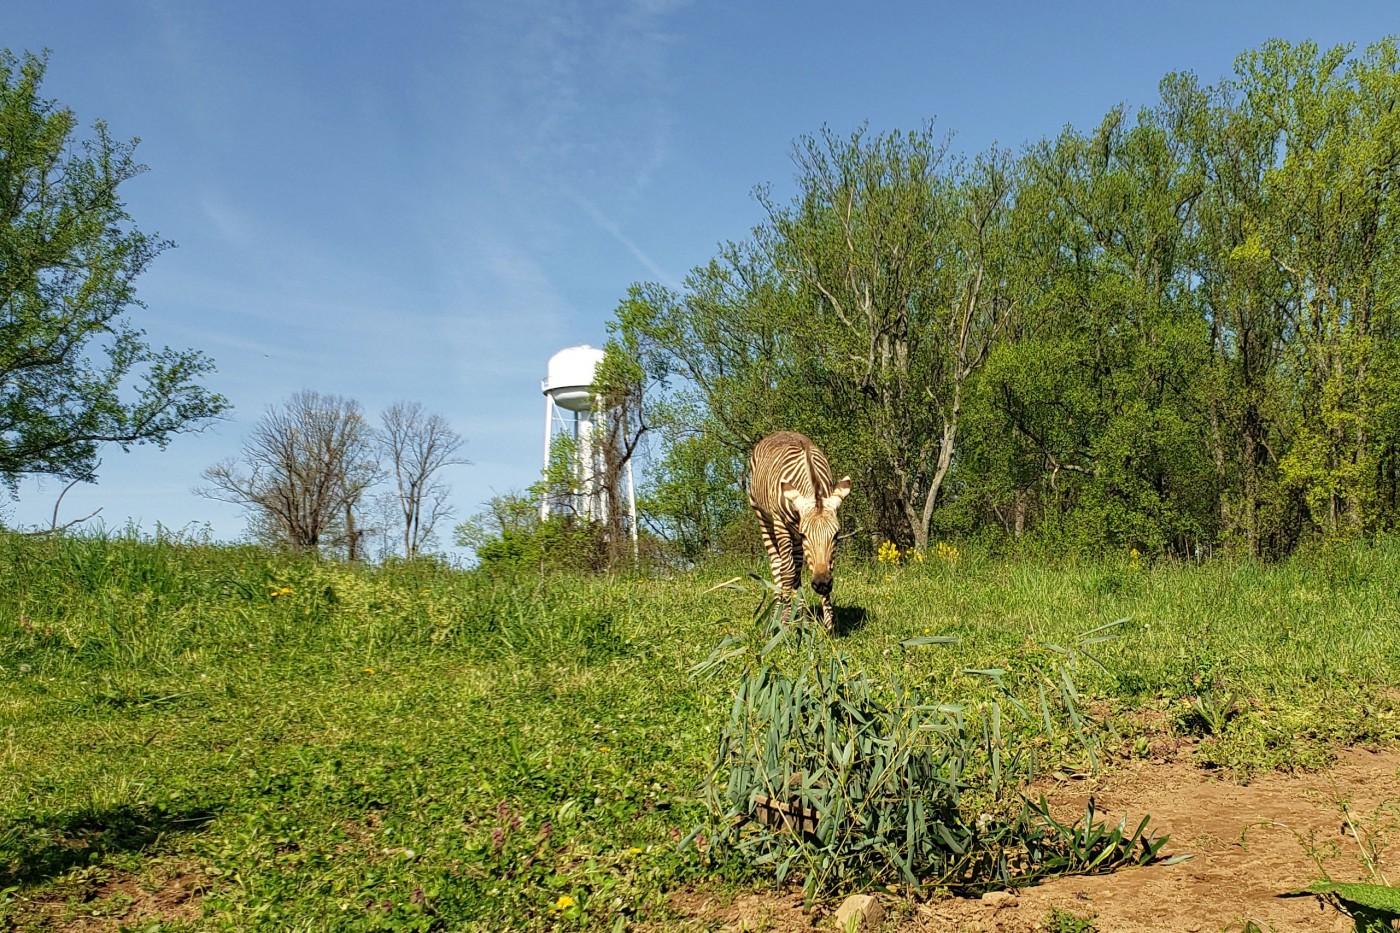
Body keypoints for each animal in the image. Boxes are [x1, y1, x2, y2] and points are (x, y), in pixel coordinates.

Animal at [744, 431, 851, 627]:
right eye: (804, 534)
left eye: (836, 534)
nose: (822, 584)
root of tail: (778, 432)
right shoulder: (782, 526)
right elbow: (787, 572)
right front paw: (785, 621)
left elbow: (819, 568)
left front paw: (829, 624)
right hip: (764, 519)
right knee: (778, 565)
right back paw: (778, 611)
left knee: (797, 572)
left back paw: (802, 615)